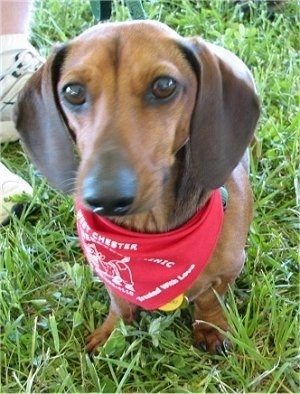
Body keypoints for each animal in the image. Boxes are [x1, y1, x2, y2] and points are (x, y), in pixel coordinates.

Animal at [13, 20, 258, 354]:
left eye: (164, 86)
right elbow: (119, 301)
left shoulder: (230, 268)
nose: (106, 197)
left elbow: (209, 299)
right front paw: (111, 332)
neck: (150, 231)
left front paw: (210, 328)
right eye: (73, 92)